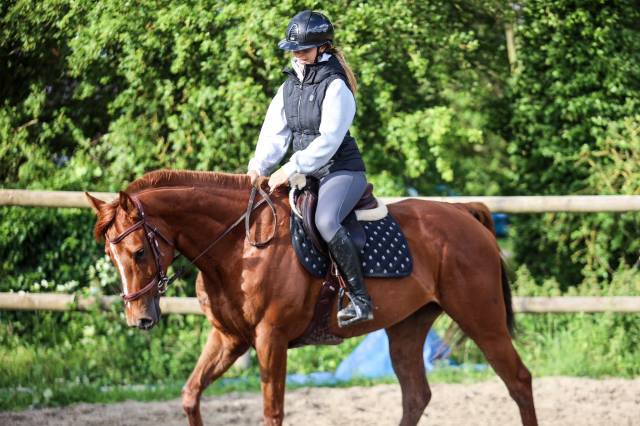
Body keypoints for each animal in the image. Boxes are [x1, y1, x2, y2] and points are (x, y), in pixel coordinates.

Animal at [85, 169, 538, 426]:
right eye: (109, 255)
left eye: (138, 252)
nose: (139, 319)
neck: (237, 247)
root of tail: (463, 213)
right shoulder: (228, 339)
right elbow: (190, 395)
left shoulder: (270, 339)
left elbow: (272, 412)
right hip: (407, 327)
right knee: (416, 395)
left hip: (481, 319)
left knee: (518, 380)